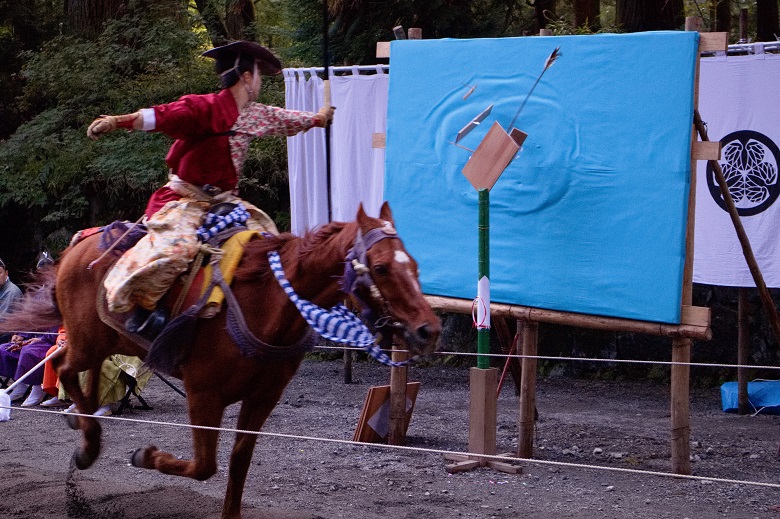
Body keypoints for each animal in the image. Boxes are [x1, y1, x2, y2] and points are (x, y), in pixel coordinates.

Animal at [1, 204, 438, 519]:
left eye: (415, 265)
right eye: (380, 267)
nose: (428, 329)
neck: (268, 305)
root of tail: (79, 245)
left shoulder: (262, 398)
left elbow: (238, 462)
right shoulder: (204, 395)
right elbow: (204, 466)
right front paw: (145, 456)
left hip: (100, 338)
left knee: (78, 368)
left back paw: (83, 419)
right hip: (88, 339)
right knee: (66, 366)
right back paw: (88, 441)